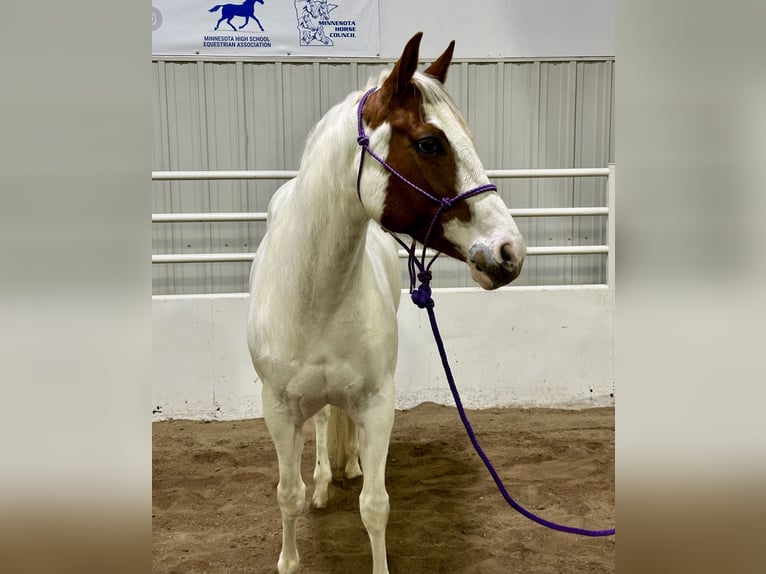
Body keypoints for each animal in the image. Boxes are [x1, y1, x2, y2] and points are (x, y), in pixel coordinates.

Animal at [249, 32, 532, 574]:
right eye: (429, 143)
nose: (510, 251)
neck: (317, 296)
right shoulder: (278, 409)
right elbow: (286, 495)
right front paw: (291, 552)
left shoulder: (378, 404)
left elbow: (375, 507)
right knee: (321, 425)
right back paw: (324, 483)